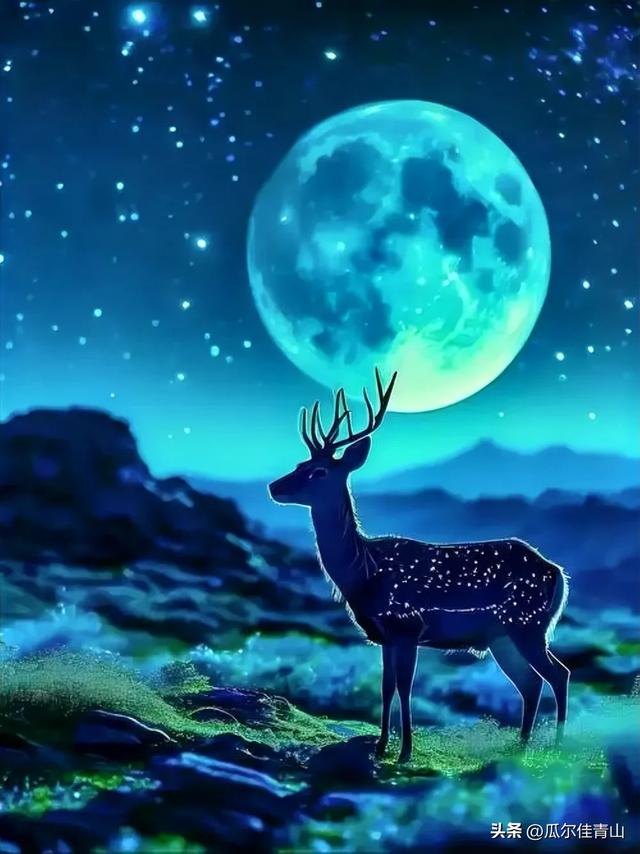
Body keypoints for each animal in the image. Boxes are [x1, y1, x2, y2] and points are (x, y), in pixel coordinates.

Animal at [268, 369, 570, 763]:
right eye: (299, 464)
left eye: (318, 471)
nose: (273, 486)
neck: (366, 573)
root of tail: (558, 573)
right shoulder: (384, 635)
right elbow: (385, 687)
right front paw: (381, 746)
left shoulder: (408, 625)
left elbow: (404, 687)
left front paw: (405, 752)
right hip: (503, 636)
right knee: (531, 683)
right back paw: (519, 747)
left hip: (528, 624)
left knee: (559, 674)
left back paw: (559, 747)